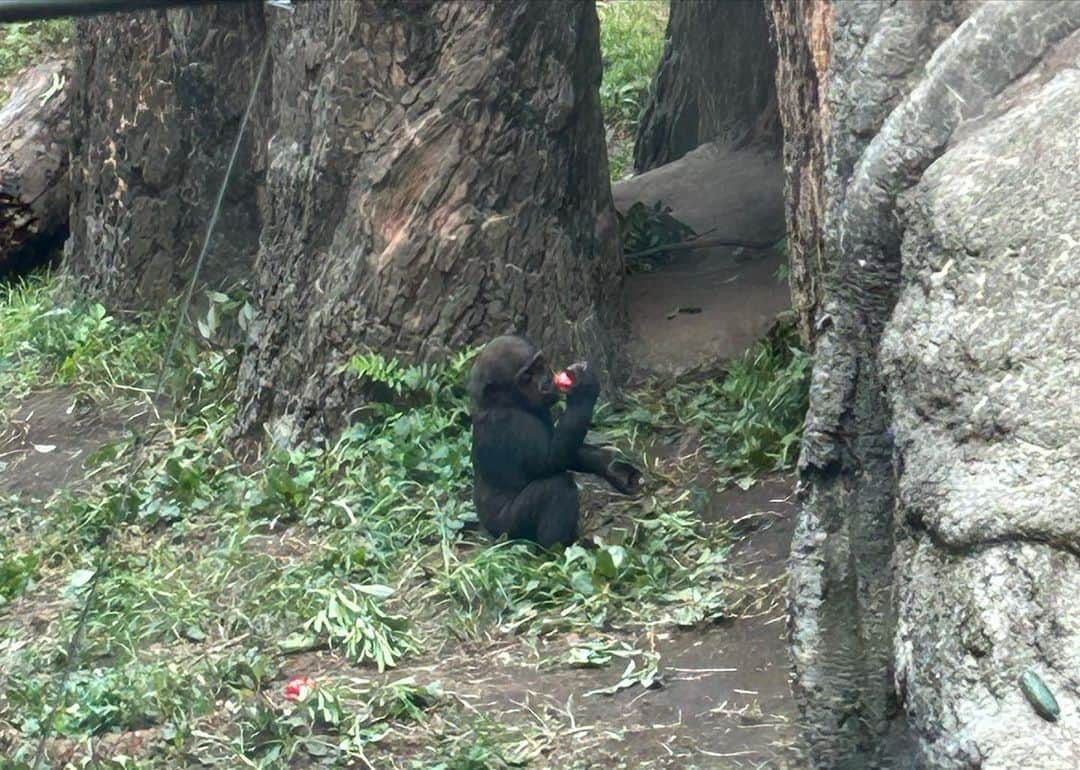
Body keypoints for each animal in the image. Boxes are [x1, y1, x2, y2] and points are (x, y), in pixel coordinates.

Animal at [466, 334, 639, 546]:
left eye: (540, 365)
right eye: (526, 377)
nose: (546, 382)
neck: (506, 402)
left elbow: (568, 450)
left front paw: (614, 468)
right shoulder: (513, 423)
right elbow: (550, 461)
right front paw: (584, 388)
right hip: (507, 529)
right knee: (556, 487)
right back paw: (558, 548)